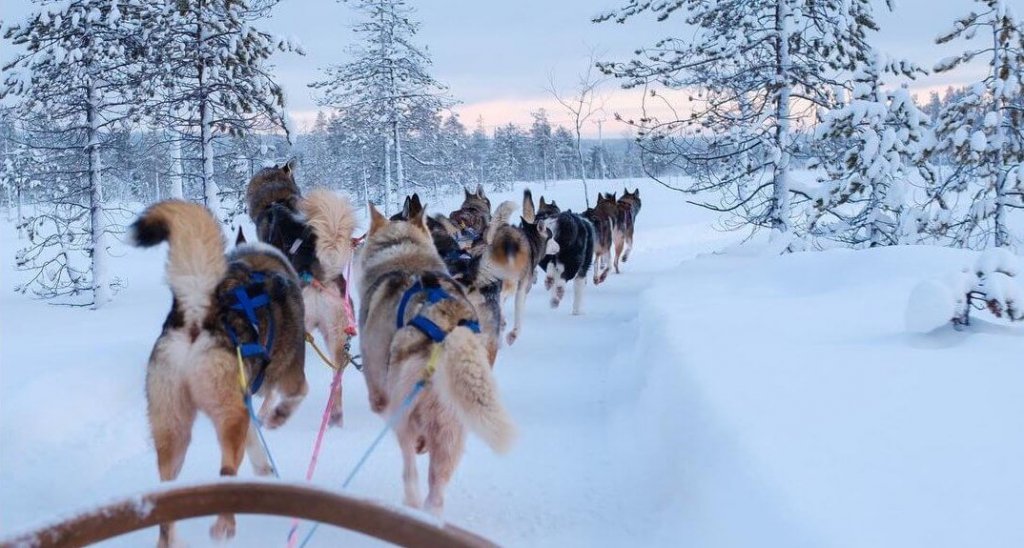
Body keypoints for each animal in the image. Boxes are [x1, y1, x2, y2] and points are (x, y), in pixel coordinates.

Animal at [129, 200, 303, 544]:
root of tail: (198, 314)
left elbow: (255, 440)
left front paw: (264, 467)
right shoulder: (291, 375)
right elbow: (295, 397)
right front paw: (278, 417)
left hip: (173, 428)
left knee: (166, 498)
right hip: (228, 415)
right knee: (226, 472)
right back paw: (225, 525)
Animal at [356, 201, 516, 514]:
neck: (404, 254)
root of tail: (448, 329)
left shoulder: (378, 388)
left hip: (404, 412)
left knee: (410, 467)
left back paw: (410, 499)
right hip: (454, 426)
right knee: (436, 493)